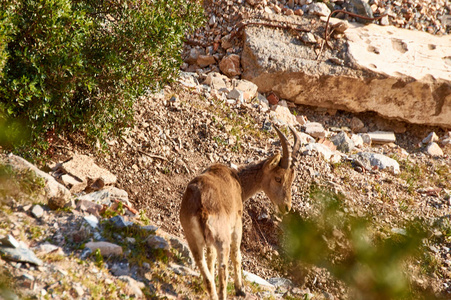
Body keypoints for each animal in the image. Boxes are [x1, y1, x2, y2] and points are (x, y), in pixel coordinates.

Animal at [179, 125, 300, 300]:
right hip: (222, 238)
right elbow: (237, 255)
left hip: (193, 239)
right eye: (278, 178)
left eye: (292, 179)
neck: (238, 180)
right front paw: (240, 289)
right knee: (223, 269)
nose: (286, 207)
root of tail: (201, 207)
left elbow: (210, 258)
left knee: (205, 269)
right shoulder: (237, 225)